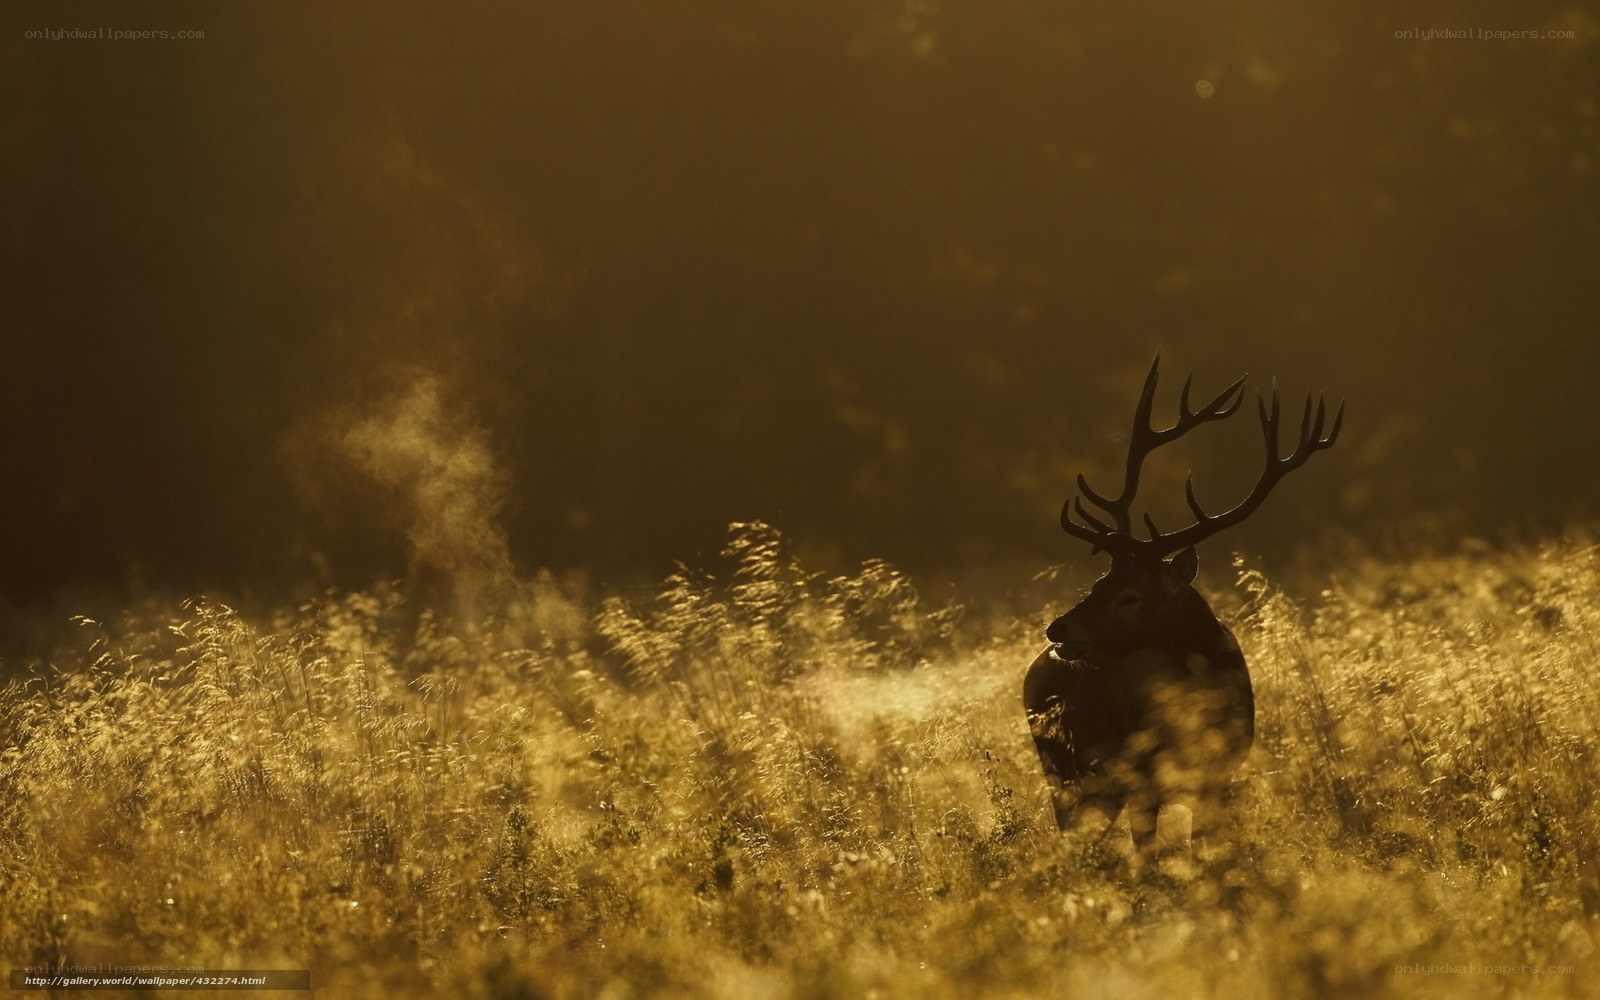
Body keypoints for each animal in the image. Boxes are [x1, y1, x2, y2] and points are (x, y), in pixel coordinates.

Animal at [1024, 354, 1342, 863]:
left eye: (1130, 595)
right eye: (1098, 581)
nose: (1058, 629)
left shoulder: (1221, 774)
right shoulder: (1141, 778)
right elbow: (1149, 854)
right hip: (1063, 767)